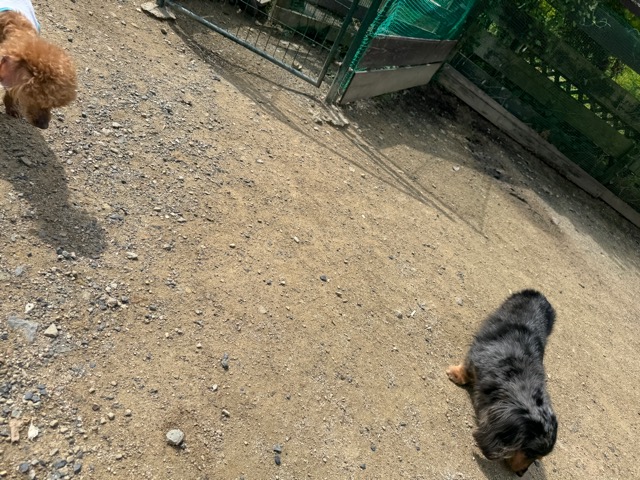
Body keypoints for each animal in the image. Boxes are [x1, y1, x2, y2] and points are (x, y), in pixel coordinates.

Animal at [446, 290, 558, 477]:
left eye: (537, 458)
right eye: (529, 452)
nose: (521, 474)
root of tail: (539, 295)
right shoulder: (477, 355)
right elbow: (467, 368)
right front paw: (455, 374)